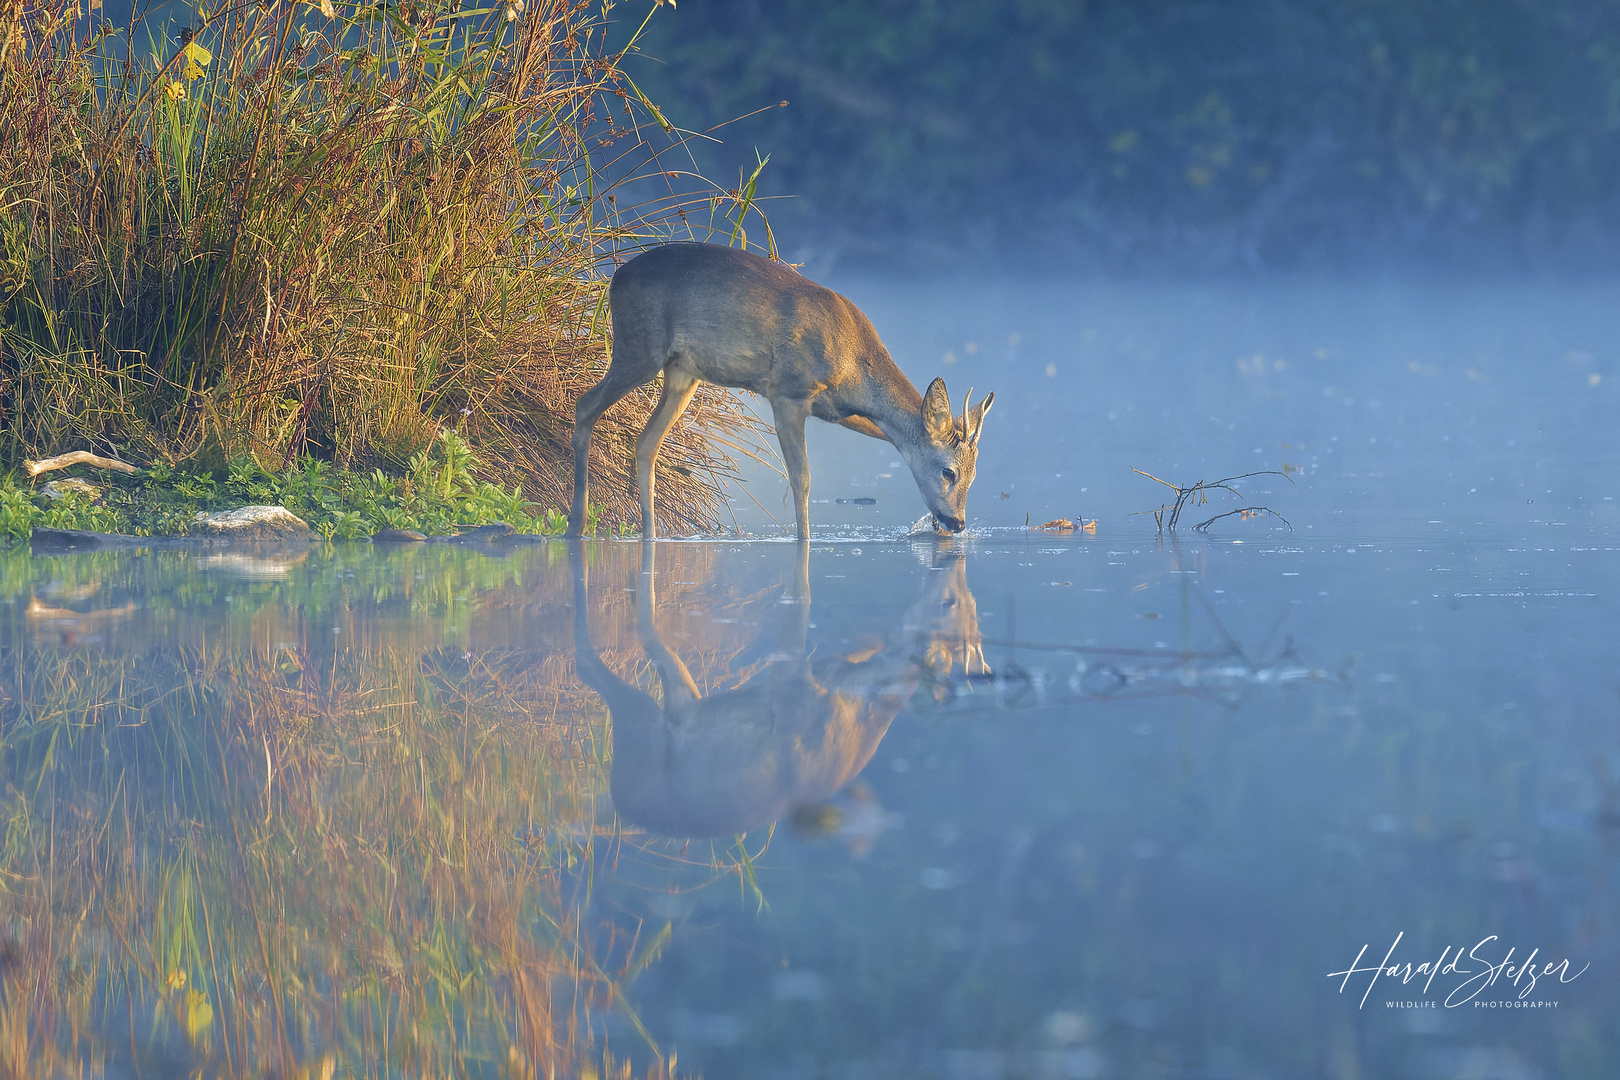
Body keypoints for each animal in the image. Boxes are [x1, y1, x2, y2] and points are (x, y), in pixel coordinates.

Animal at [570, 241, 997, 537]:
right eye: (948, 472)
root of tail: (614, 278)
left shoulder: (836, 411)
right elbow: (802, 479)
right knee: (585, 404)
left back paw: (649, 534)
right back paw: (577, 522)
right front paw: (804, 541)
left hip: (681, 374)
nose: (957, 523)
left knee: (645, 443)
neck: (853, 361)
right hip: (639, 348)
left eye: (975, 475)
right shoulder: (788, 392)